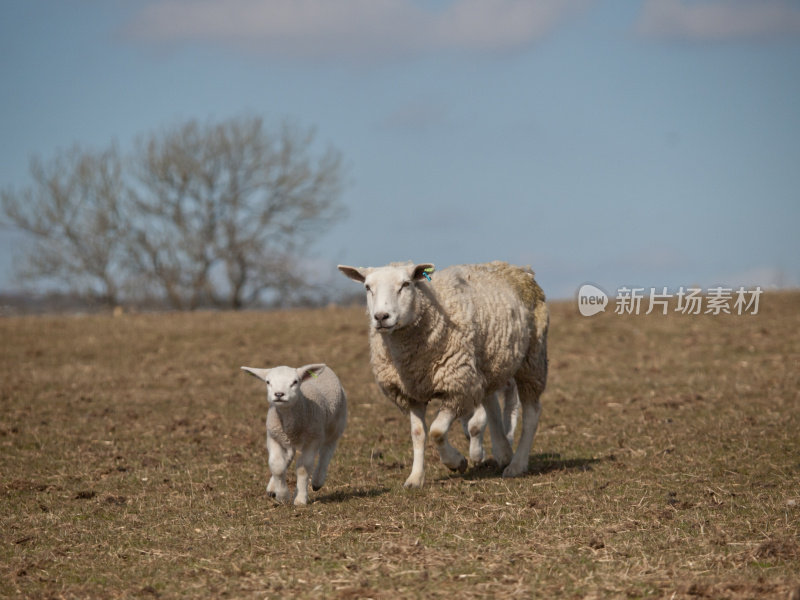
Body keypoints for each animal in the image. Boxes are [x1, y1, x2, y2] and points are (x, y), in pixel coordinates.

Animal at [241, 364, 346, 504]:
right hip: (287, 440)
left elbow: (303, 468)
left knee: (327, 452)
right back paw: (272, 487)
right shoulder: (273, 437)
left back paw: (317, 481)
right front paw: (282, 496)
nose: (279, 394)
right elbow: (277, 465)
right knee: (288, 456)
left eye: (295, 382)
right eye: (268, 382)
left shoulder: (312, 439)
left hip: (335, 427)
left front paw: (300, 499)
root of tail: (328, 370)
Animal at [338, 262, 552, 488]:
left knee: (531, 414)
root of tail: (518, 269)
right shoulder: (410, 393)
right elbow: (418, 434)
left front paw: (455, 462)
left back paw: (517, 464)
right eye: (367, 287)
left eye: (406, 284)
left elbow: (437, 431)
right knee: (492, 407)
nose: (381, 317)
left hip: (532, 359)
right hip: (485, 368)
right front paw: (415, 478)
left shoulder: (457, 388)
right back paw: (502, 453)